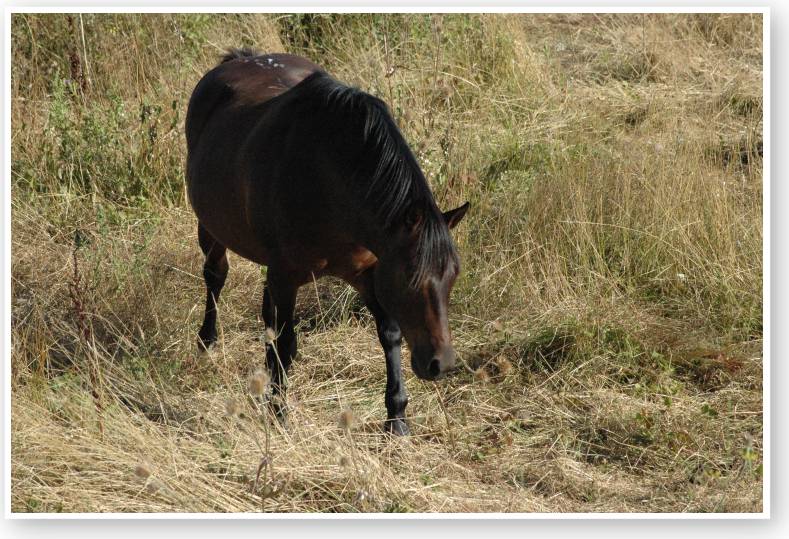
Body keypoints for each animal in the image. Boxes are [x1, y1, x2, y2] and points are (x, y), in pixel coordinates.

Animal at [185, 48, 469, 435]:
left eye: (453, 278)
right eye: (410, 279)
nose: (441, 364)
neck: (331, 179)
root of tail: (238, 59)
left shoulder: (368, 273)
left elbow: (390, 334)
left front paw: (397, 418)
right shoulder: (288, 273)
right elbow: (287, 342)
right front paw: (278, 413)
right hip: (211, 229)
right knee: (216, 276)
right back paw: (208, 344)